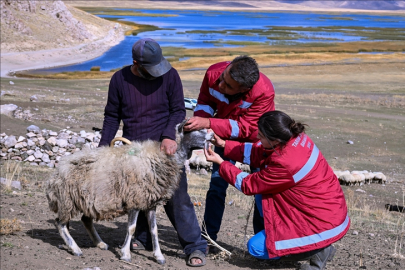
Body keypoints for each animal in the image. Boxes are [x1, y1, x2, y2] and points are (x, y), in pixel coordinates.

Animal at [45, 121, 207, 264]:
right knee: (60, 223)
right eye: (195, 129)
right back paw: (75, 248)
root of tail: (58, 169)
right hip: (67, 199)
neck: (162, 157)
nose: (211, 137)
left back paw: (99, 244)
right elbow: (131, 228)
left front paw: (159, 256)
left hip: (87, 200)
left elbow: (154, 230)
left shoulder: (150, 202)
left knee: (85, 220)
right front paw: (126, 254)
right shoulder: (135, 199)